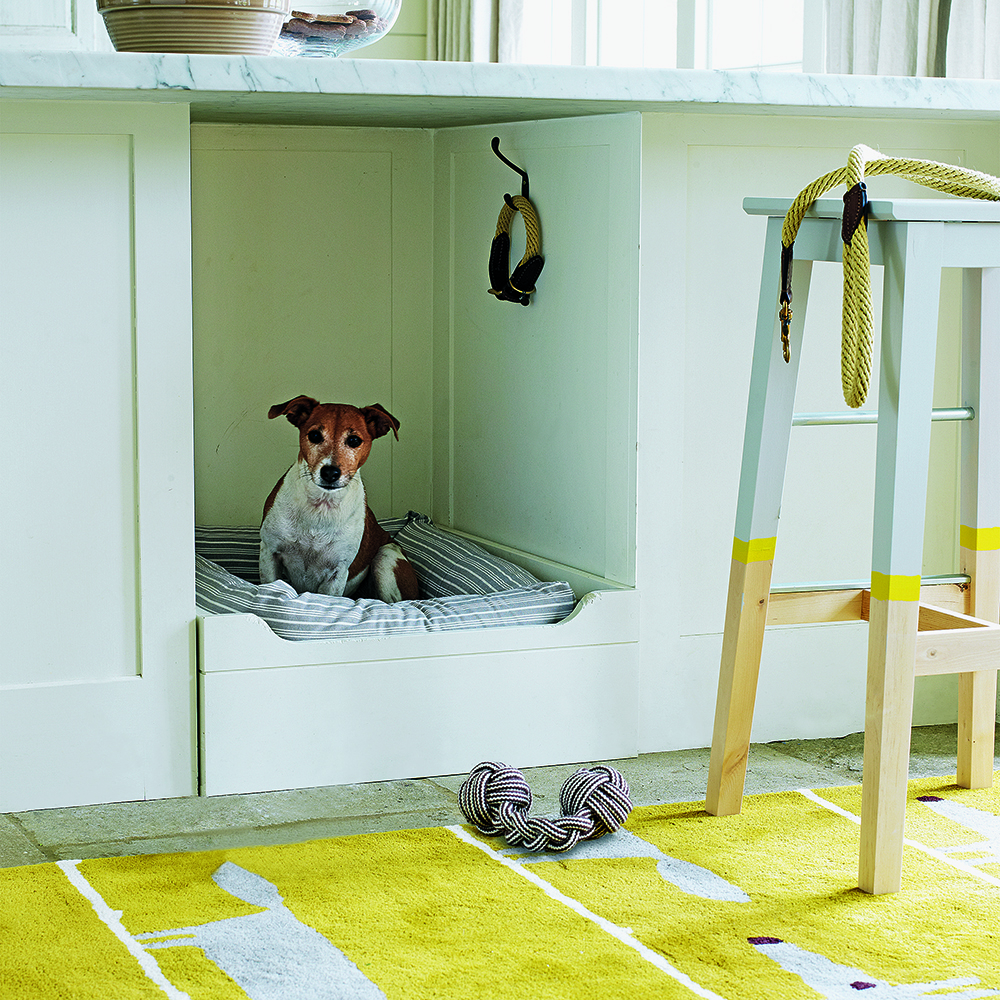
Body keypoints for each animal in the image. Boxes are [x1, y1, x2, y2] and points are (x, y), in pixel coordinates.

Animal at [260, 396, 420, 600]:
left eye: (354, 440)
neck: (321, 505)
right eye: (314, 436)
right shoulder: (269, 553)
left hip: (386, 558)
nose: (330, 472)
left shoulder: (337, 572)